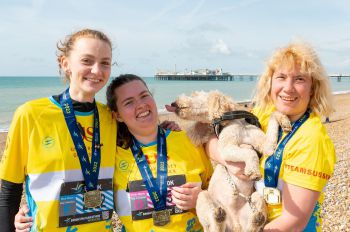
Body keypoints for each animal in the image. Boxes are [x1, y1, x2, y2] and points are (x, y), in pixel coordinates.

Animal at [165, 90, 292, 232]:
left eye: (194, 94)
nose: (173, 103)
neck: (236, 121)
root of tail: (235, 225)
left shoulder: (267, 147)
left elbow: (273, 116)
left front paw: (284, 121)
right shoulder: (226, 148)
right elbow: (250, 152)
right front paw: (253, 171)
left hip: (256, 198)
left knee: (250, 227)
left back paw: (256, 220)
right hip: (204, 196)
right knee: (214, 227)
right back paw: (218, 217)